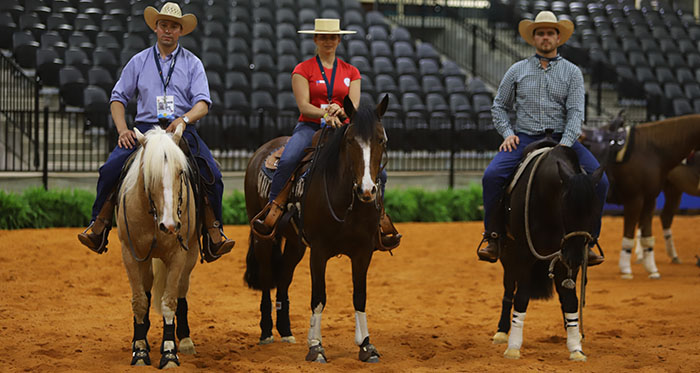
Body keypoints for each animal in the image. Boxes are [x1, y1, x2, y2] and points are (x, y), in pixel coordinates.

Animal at [115, 123, 197, 368]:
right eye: (150, 175)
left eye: (181, 172)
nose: (170, 225)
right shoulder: (130, 253)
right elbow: (140, 301)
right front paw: (140, 350)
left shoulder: (179, 255)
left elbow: (169, 301)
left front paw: (169, 353)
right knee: (147, 288)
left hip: (190, 257)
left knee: (181, 290)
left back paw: (185, 340)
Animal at [243, 95, 392, 360]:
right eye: (350, 140)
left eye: (381, 140)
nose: (366, 190)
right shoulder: (319, 252)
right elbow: (319, 297)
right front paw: (316, 346)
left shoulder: (363, 251)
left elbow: (360, 296)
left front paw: (366, 345)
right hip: (264, 237)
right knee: (267, 278)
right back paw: (267, 332)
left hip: (295, 244)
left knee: (283, 279)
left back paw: (286, 330)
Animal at [494, 142, 604, 360]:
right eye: (565, 209)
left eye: (595, 211)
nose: (575, 257)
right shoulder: (524, 254)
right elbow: (522, 297)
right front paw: (513, 347)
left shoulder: (565, 257)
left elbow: (570, 300)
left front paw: (576, 348)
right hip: (508, 254)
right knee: (509, 289)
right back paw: (502, 331)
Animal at [584, 113, 700, 276]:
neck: (651, 151)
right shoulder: (634, 199)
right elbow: (629, 235)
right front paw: (625, 269)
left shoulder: (650, 199)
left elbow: (647, 234)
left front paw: (652, 269)